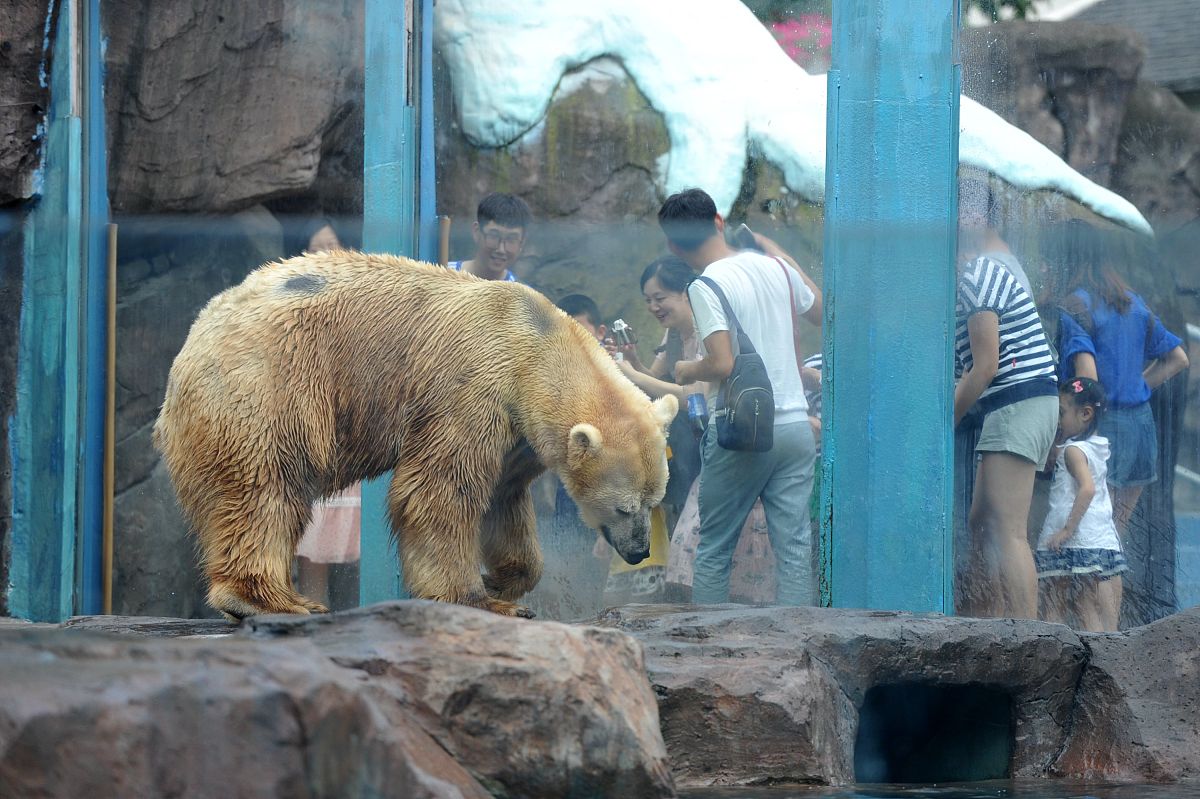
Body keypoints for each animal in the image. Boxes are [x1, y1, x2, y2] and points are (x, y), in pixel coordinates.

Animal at [153, 251, 677, 619]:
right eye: (623, 507)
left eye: (654, 502)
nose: (639, 551)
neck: (531, 340)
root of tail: (195, 334)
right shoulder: (471, 387)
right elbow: (440, 489)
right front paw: (478, 598)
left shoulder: (516, 432)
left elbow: (502, 497)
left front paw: (501, 580)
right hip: (266, 384)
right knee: (262, 485)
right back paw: (273, 599)